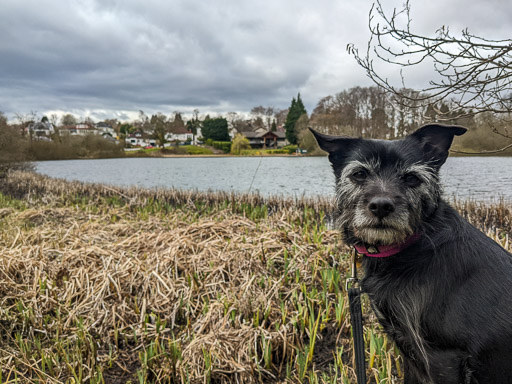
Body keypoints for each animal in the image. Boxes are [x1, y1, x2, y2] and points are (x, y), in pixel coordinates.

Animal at [310, 124, 512, 382]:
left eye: (412, 178)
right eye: (359, 174)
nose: (381, 206)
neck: (417, 244)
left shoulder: (442, 358)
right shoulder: (408, 349)